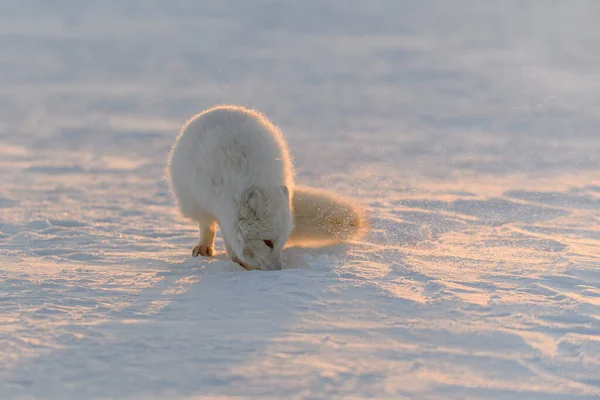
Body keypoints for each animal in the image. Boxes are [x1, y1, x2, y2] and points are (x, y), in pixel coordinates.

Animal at [168, 104, 366, 270]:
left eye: (282, 241)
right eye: (267, 242)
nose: (278, 270)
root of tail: (222, 107)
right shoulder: (218, 205)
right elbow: (224, 232)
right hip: (193, 201)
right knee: (206, 224)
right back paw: (203, 247)